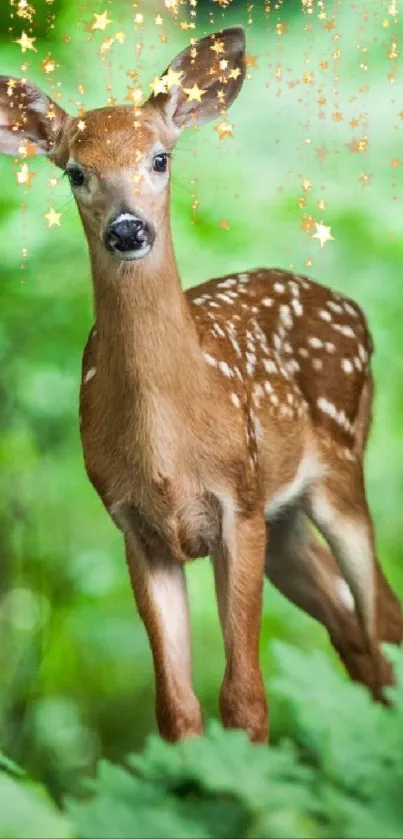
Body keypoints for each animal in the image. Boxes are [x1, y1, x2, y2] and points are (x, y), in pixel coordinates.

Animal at [1, 26, 402, 740]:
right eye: (76, 172)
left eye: (160, 158)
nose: (127, 229)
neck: (168, 448)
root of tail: (351, 306)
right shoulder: (135, 528)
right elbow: (176, 709)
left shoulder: (237, 505)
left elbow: (244, 698)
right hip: (286, 521)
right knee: (358, 635)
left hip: (339, 471)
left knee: (382, 617)